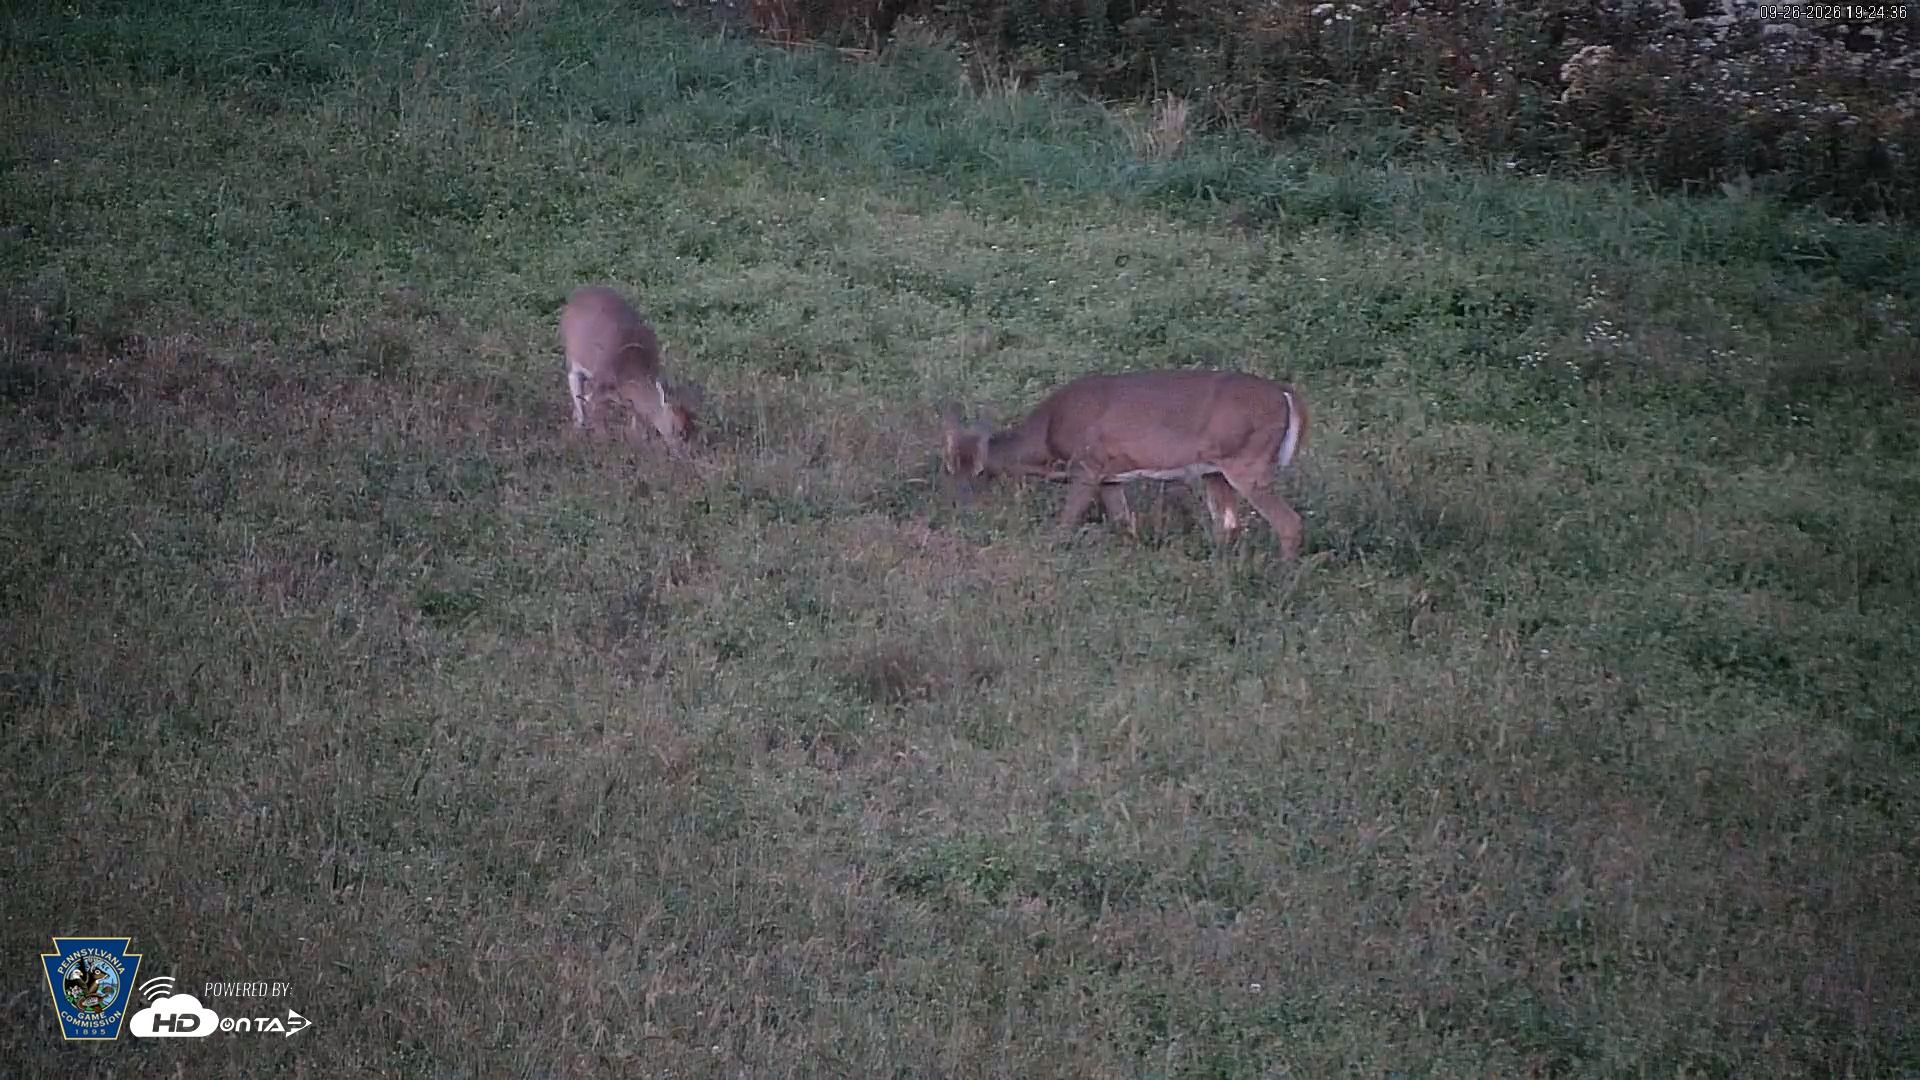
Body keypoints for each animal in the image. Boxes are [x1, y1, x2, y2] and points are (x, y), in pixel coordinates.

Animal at [560, 285, 704, 453]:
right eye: (679, 431)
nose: (683, 451)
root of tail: (576, 296)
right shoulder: (599, 383)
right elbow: (596, 413)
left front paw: (638, 440)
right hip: (572, 360)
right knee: (575, 389)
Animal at [940, 369, 1311, 559]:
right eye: (950, 468)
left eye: (976, 472)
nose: (957, 505)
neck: (1047, 438)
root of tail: (1288, 395)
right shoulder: (1111, 476)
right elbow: (1125, 523)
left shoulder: (1087, 466)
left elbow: (1065, 524)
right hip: (1215, 470)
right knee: (1229, 525)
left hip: (1247, 461)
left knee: (1289, 522)